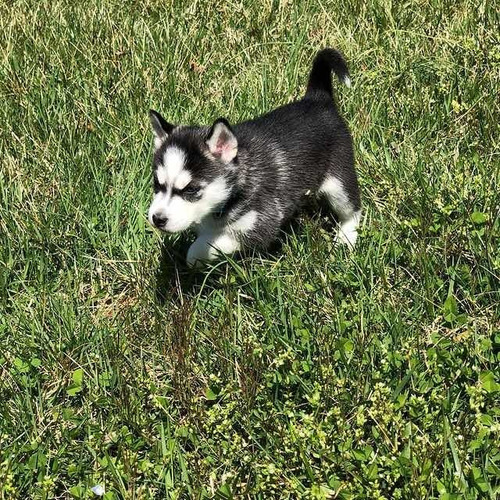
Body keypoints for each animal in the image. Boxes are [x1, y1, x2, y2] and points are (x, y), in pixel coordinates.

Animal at [146, 47, 362, 266]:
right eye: (157, 184)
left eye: (191, 189)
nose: (158, 219)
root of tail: (317, 98)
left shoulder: (262, 223)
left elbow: (207, 245)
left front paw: (196, 258)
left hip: (338, 182)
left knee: (352, 209)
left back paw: (346, 237)